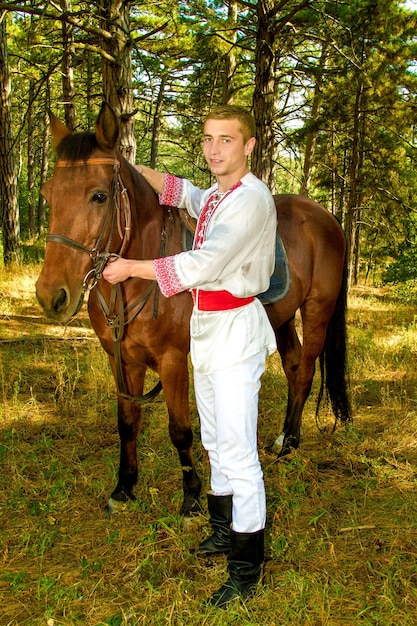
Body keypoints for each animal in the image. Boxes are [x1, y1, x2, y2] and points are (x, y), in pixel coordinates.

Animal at [35, 103, 350, 516]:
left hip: (317, 312)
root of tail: (325, 216)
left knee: (305, 373)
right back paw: (283, 437)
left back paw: (290, 445)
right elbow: (127, 422)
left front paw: (190, 499)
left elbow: (180, 431)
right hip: (282, 319)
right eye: (47, 194)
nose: (51, 296)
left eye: (99, 196)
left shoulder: (172, 361)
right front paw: (125, 487)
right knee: (294, 365)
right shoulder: (122, 360)